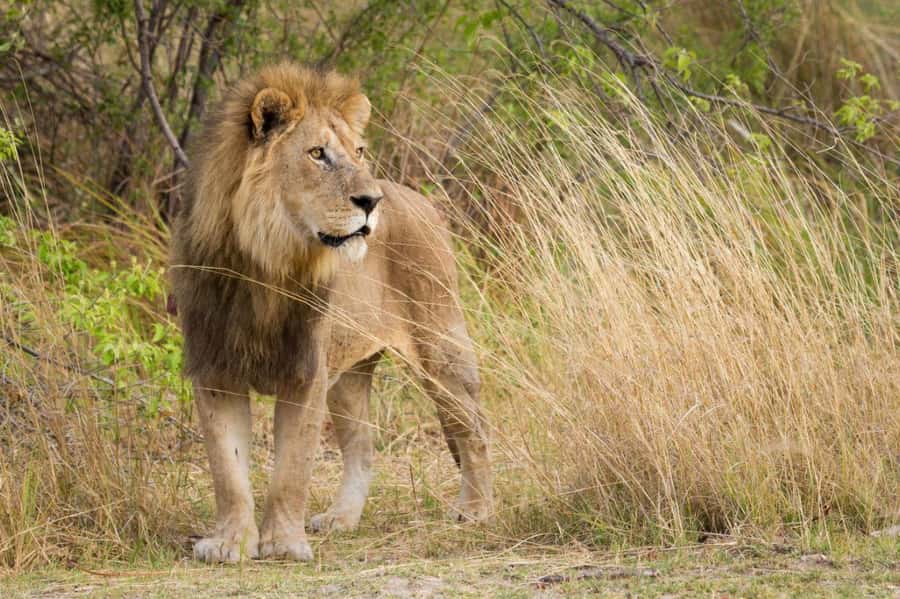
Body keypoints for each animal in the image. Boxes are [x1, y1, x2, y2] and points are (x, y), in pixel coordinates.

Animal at [170, 63, 492, 563]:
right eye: (317, 153)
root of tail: (422, 201)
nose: (372, 202)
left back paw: (474, 510)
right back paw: (343, 519)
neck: (263, 266)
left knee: (473, 428)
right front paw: (229, 543)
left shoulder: (307, 372)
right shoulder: (215, 369)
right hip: (349, 373)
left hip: (441, 348)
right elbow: (227, 470)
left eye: (358, 151)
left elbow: (292, 470)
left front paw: (283, 544)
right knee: (363, 448)